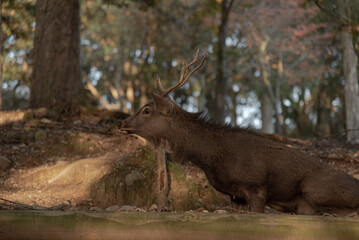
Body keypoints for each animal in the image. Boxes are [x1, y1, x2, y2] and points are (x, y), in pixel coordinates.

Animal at [121, 49, 359, 216]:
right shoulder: (235, 196)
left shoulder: (256, 188)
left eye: (146, 110)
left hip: (313, 188)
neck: (211, 157)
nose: (122, 123)